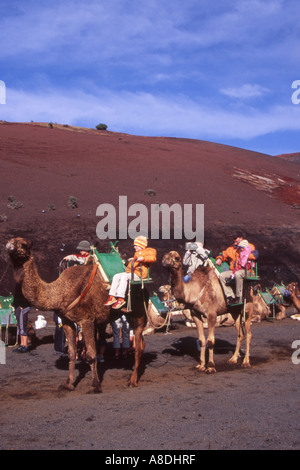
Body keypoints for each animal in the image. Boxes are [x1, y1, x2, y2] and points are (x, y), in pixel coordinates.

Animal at [5, 237, 148, 392]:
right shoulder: (67, 321)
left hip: (138, 313)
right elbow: (72, 353)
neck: (60, 292)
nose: (8, 245)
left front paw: (95, 385)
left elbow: (91, 354)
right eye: (11, 240)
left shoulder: (87, 320)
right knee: (141, 344)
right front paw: (68, 384)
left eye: (24, 244)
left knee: (138, 346)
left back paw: (132, 381)